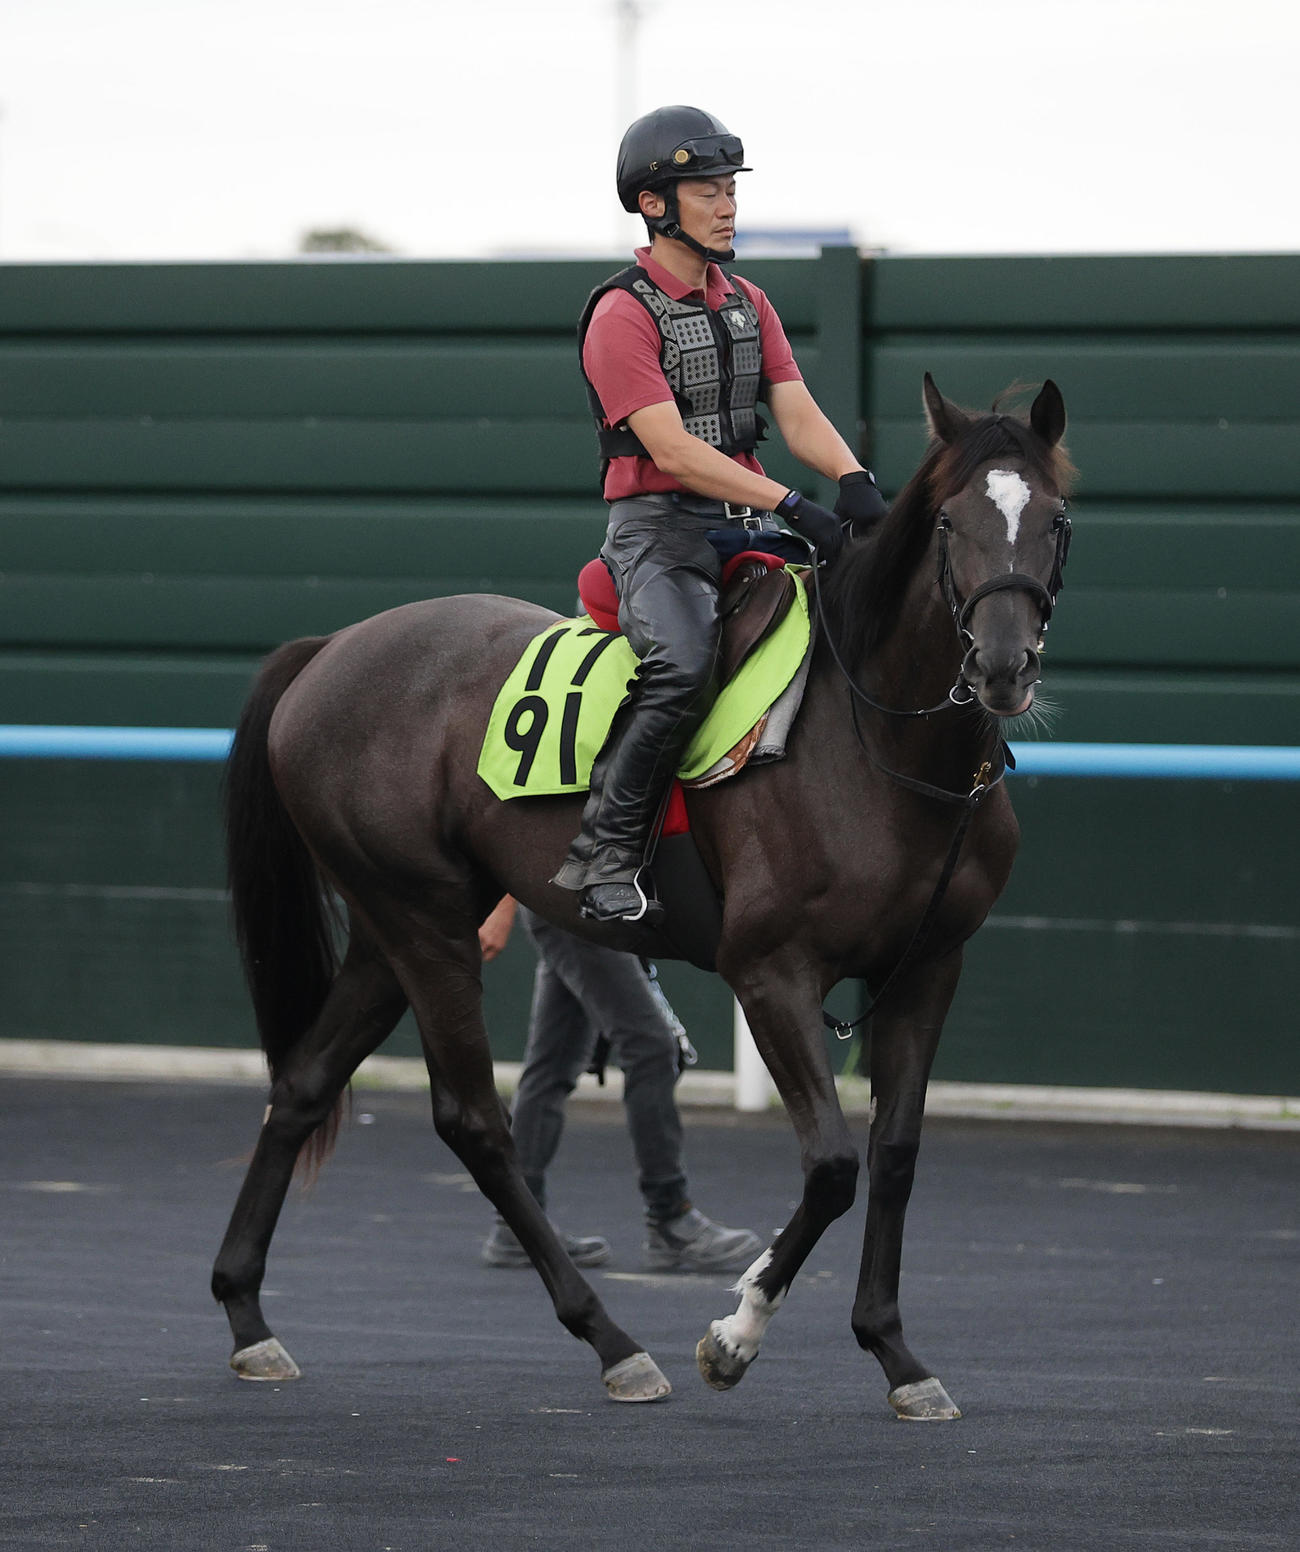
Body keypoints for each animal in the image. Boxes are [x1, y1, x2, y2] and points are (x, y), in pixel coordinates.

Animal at [211, 373, 1074, 1416]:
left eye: (1056, 520)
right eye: (949, 521)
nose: (1002, 666)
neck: (876, 741)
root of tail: (331, 646)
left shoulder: (927, 969)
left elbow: (896, 1155)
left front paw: (896, 1353)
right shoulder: (769, 971)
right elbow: (832, 1164)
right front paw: (735, 1334)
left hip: (392, 932)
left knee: (302, 1082)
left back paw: (247, 1315)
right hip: (424, 926)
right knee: (476, 1122)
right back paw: (612, 1339)